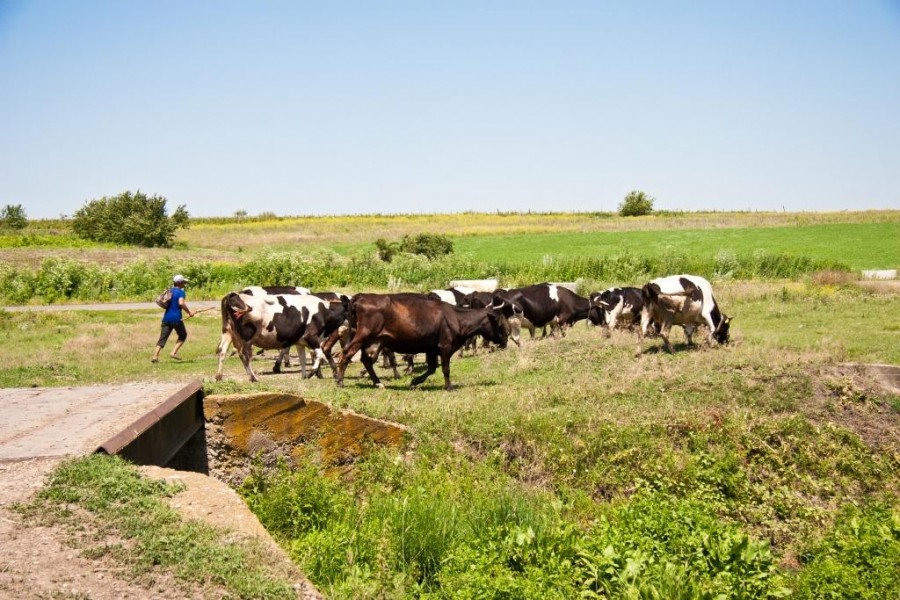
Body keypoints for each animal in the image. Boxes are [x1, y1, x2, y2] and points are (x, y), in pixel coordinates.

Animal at [334, 294, 512, 390]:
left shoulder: (431, 348)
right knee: (346, 354)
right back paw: (340, 381)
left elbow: (432, 368)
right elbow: (445, 368)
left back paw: (378, 383)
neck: (456, 318)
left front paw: (414, 381)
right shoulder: (445, 346)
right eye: (498, 320)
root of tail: (362, 296)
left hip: (372, 341)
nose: (507, 336)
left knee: (365, 360)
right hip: (363, 336)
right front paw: (449, 387)